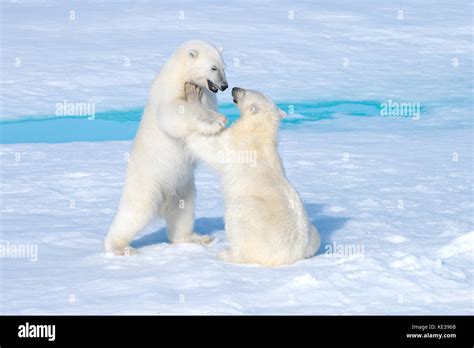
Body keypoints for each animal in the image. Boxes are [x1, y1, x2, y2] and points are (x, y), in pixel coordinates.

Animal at [104, 40, 230, 254]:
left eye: (224, 67)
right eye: (213, 67)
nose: (224, 86)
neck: (180, 74)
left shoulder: (207, 95)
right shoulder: (168, 92)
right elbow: (174, 113)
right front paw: (215, 121)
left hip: (183, 187)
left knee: (183, 212)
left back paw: (199, 238)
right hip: (148, 184)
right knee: (136, 211)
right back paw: (120, 247)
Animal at [183, 84, 320, 266]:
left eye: (245, 92)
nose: (234, 88)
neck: (258, 133)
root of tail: (292, 255)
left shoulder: (234, 145)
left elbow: (207, 144)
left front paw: (193, 96)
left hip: (250, 216)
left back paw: (226, 253)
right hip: (311, 234)